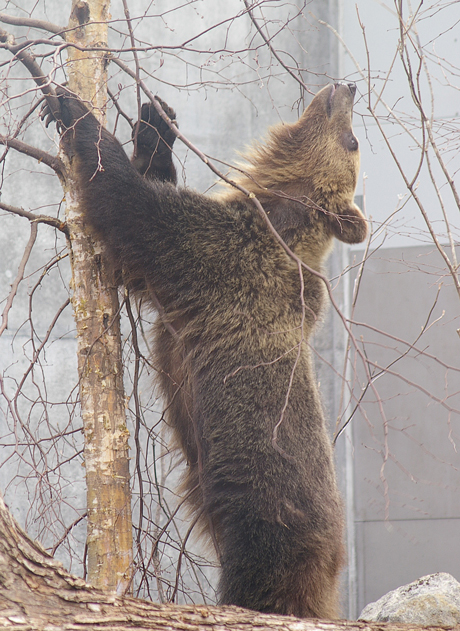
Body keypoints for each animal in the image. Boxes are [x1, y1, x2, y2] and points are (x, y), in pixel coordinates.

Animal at [43, 81, 366, 620]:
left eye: (353, 141)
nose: (349, 86)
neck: (273, 203)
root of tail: (332, 569)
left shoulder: (221, 255)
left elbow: (135, 210)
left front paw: (71, 109)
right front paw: (156, 125)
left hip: (267, 509)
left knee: (261, 576)